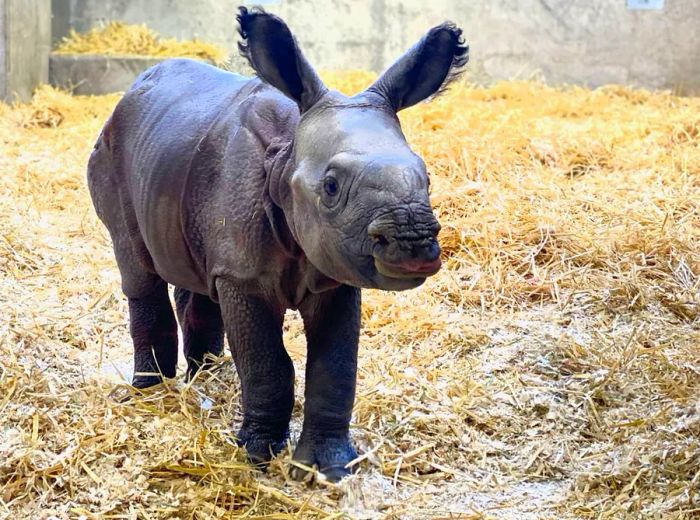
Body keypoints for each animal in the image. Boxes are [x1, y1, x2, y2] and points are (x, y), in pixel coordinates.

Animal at [89, 6, 470, 482]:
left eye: (428, 177)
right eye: (331, 186)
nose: (414, 244)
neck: (287, 156)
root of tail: (128, 94)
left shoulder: (335, 274)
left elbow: (334, 368)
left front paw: (329, 466)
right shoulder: (244, 278)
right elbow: (267, 362)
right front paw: (258, 456)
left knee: (196, 274)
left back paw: (207, 375)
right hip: (109, 152)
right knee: (138, 269)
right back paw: (151, 389)